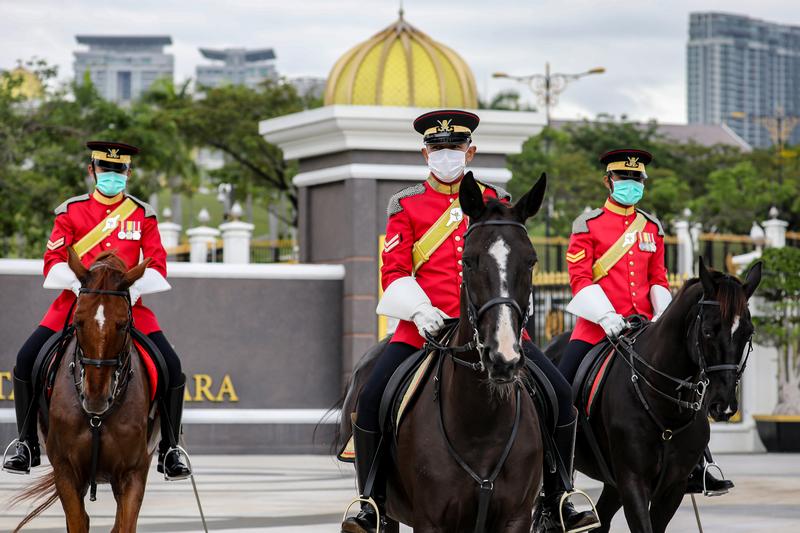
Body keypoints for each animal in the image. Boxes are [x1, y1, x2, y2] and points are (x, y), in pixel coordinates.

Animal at [12, 249, 158, 532]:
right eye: (78, 322)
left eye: (123, 325)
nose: (95, 399)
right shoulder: (65, 470)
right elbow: (78, 522)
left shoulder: (133, 473)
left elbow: (125, 525)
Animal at [338, 172, 552, 528]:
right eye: (469, 260)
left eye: (532, 261)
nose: (503, 358)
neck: (481, 424)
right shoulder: (431, 520)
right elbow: (394, 272)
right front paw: (428, 317)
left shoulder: (516, 517)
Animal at [544, 256, 764, 528]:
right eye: (707, 331)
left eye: (748, 332)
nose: (724, 406)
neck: (664, 407)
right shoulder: (633, 482)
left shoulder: (673, 487)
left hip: (613, 484)